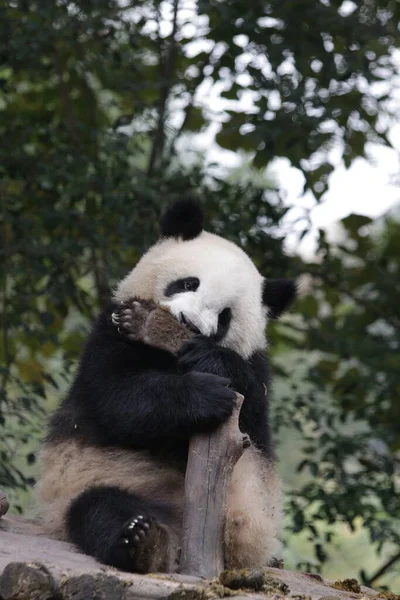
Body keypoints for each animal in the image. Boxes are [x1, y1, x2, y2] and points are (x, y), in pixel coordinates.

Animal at [37, 199, 296, 576]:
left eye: (225, 316)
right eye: (188, 283)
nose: (188, 323)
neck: (170, 357)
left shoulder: (257, 369)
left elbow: (255, 416)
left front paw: (210, 361)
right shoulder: (108, 332)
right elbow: (119, 396)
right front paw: (207, 395)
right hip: (101, 480)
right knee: (99, 507)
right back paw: (144, 542)